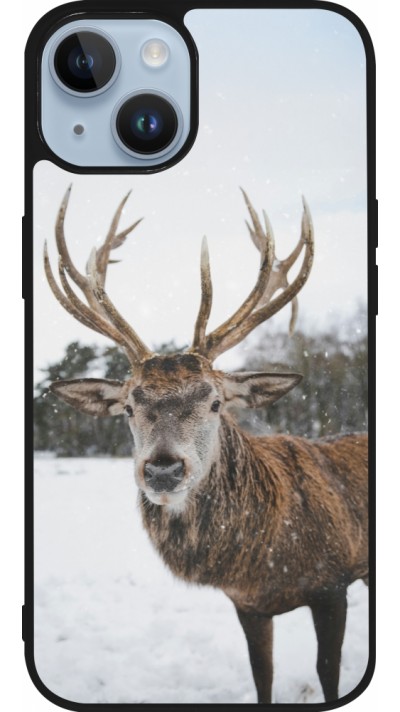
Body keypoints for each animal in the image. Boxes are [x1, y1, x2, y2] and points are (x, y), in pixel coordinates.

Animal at [44, 186, 368, 704]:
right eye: (129, 407)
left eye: (215, 402)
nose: (163, 469)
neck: (266, 558)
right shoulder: (248, 604)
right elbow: (262, 676)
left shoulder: (333, 582)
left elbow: (328, 672)